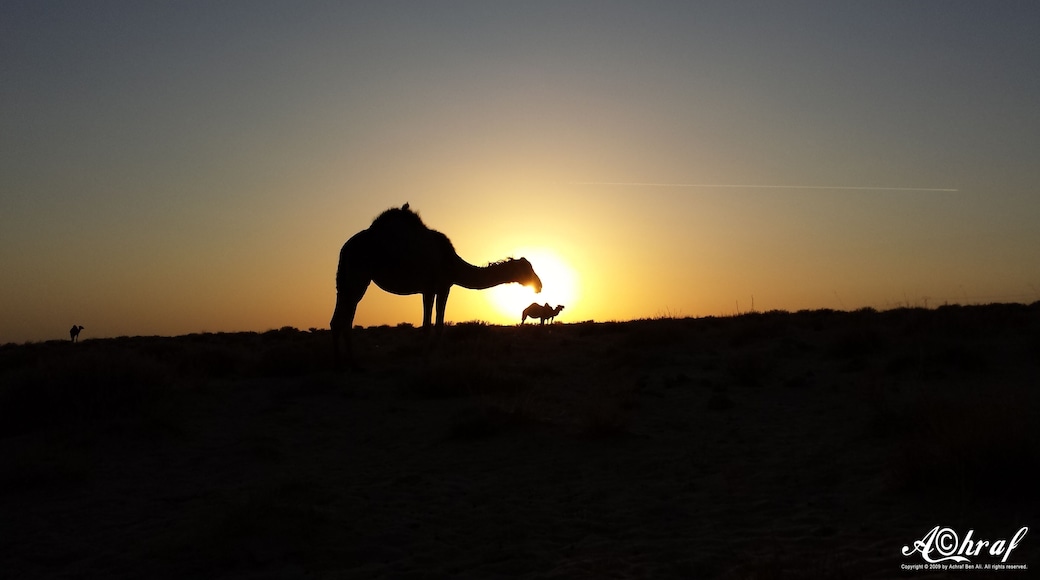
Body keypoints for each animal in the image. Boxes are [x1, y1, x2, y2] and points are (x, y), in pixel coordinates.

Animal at [331, 203, 542, 367]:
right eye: (527, 269)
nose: (539, 285)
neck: (451, 262)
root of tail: (345, 247)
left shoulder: (444, 287)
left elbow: (439, 325)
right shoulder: (430, 287)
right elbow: (427, 325)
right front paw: (425, 359)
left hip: (345, 280)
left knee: (341, 317)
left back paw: (343, 360)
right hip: (358, 276)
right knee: (346, 315)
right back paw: (348, 360)